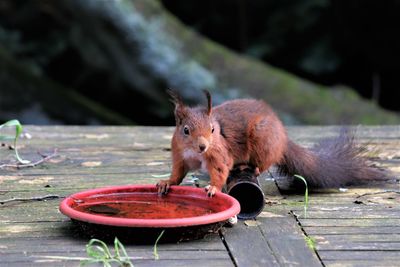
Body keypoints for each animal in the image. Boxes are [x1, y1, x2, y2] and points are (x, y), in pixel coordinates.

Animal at [155, 91, 384, 198]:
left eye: (212, 130)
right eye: (185, 130)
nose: (203, 146)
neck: (196, 153)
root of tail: (282, 137)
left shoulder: (220, 153)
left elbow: (220, 169)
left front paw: (213, 187)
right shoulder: (180, 156)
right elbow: (178, 173)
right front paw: (166, 182)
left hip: (262, 138)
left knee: (263, 162)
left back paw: (250, 166)